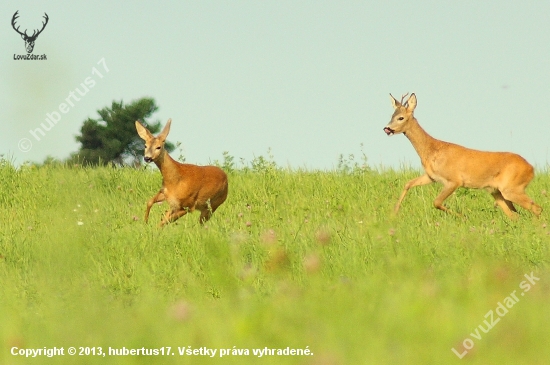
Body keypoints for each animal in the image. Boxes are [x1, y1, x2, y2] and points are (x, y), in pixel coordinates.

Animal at [384, 93, 544, 219]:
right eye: (392, 116)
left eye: (400, 118)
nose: (387, 128)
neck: (431, 151)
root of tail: (531, 169)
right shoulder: (431, 176)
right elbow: (408, 183)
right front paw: (394, 212)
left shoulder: (454, 180)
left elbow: (436, 202)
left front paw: (463, 216)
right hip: (497, 191)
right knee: (515, 215)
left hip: (512, 188)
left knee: (536, 208)